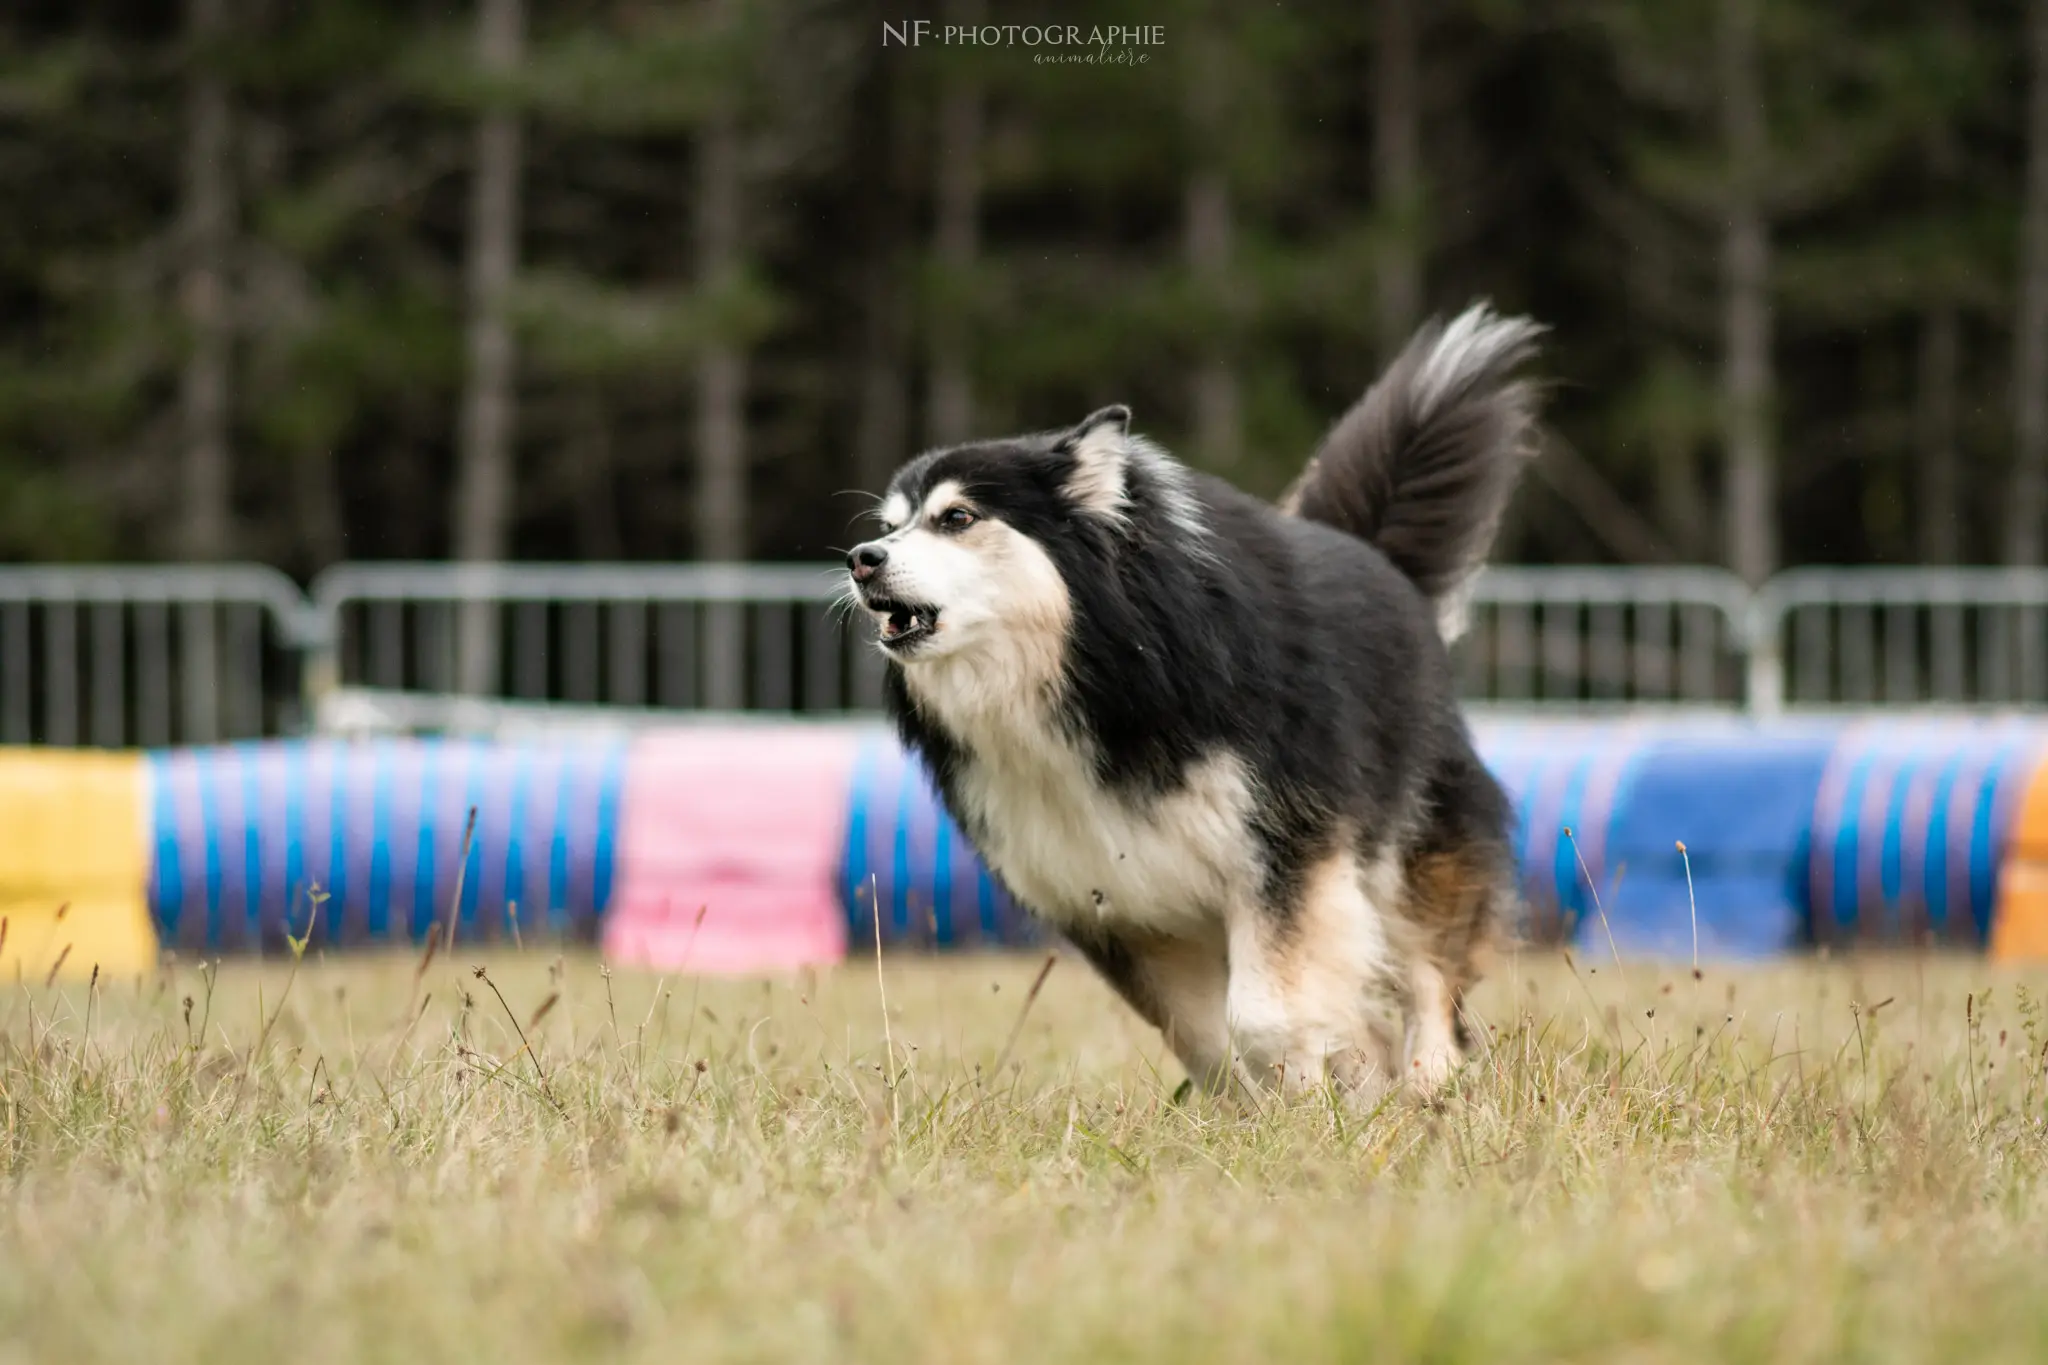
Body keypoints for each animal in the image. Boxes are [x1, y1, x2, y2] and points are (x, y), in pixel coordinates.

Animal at [843, 306, 1540, 1096]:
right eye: (891, 525)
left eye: (957, 518)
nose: (861, 559)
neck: (1096, 670)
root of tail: (1382, 562)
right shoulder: (1117, 901)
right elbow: (1206, 1037)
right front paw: (1278, 1097)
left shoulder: (1285, 851)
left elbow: (1265, 1015)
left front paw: (1307, 1096)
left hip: (1409, 843)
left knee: (1429, 972)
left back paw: (1429, 1082)